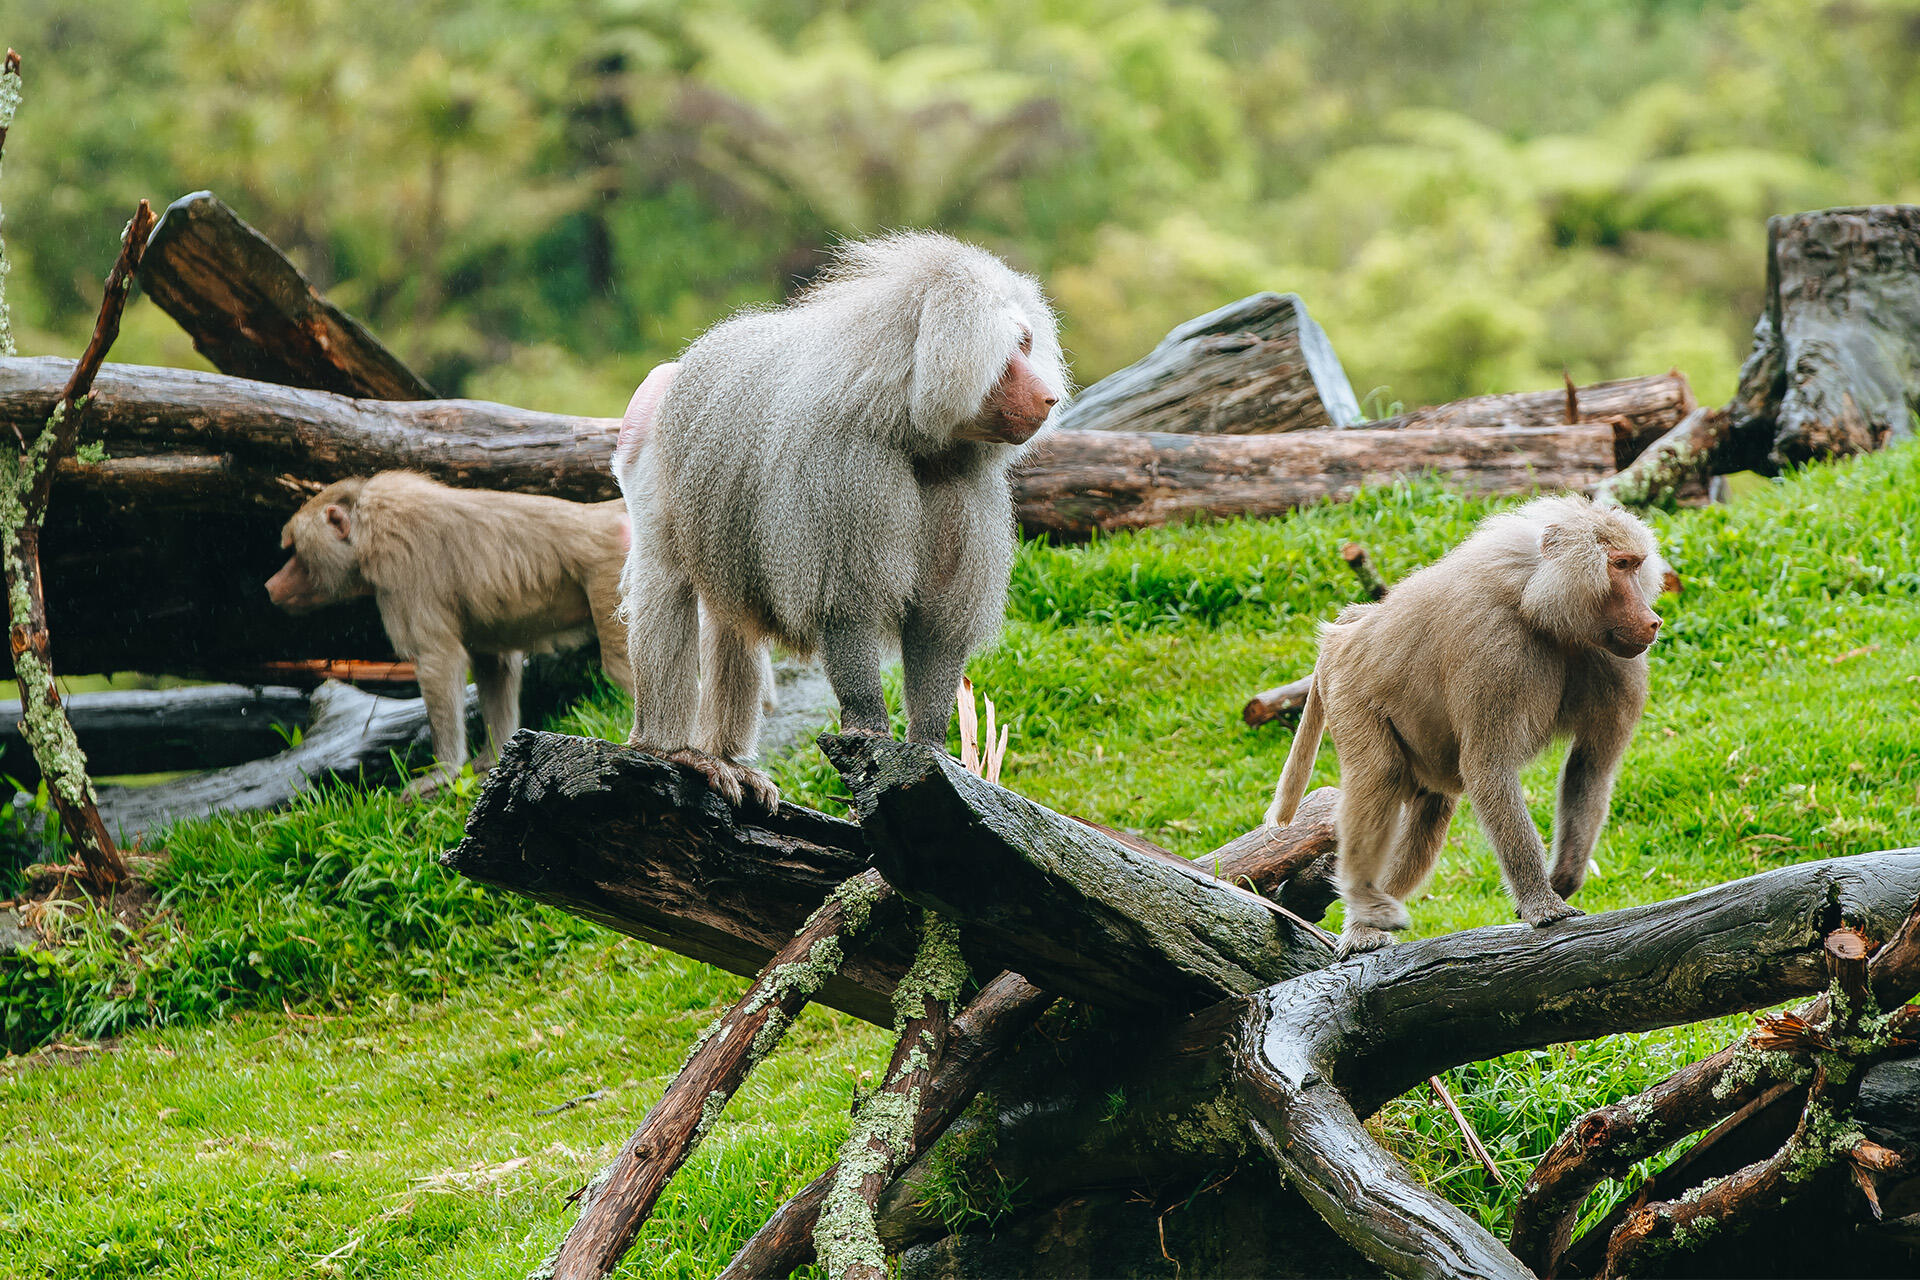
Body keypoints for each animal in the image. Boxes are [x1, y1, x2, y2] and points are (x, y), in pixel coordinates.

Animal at [265, 471, 636, 796]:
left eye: (295, 550)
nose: (271, 585)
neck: (366, 532)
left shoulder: (401, 571)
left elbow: (437, 660)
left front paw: (442, 774)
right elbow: (494, 665)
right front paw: (494, 761)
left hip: (611, 575)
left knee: (621, 665)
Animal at [614, 231, 1068, 811]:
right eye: (1018, 346)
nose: (1048, 397)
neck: (909, 422)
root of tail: (672, 370)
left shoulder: (960, 485)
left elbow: (937, 622)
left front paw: (930, 750)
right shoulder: (843, 465)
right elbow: (846, 602)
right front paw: (869, 730)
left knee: (730, 618)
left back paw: (727, 760)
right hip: (650, 461)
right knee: (665, 581)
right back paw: (672, 752)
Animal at [1262, 494, 1667, 958]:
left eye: (1636, 565)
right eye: (1619, 565)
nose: (1652, 621)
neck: (1536, 608)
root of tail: (1349, 631)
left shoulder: (1616, 659)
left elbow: (1591, 767)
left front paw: (1563, 877)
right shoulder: (1495, 650)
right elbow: (1488, 768)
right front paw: (1543, 906)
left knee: (1430, 811)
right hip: (1349, 692)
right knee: (1379, 779)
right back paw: (1362, 923)